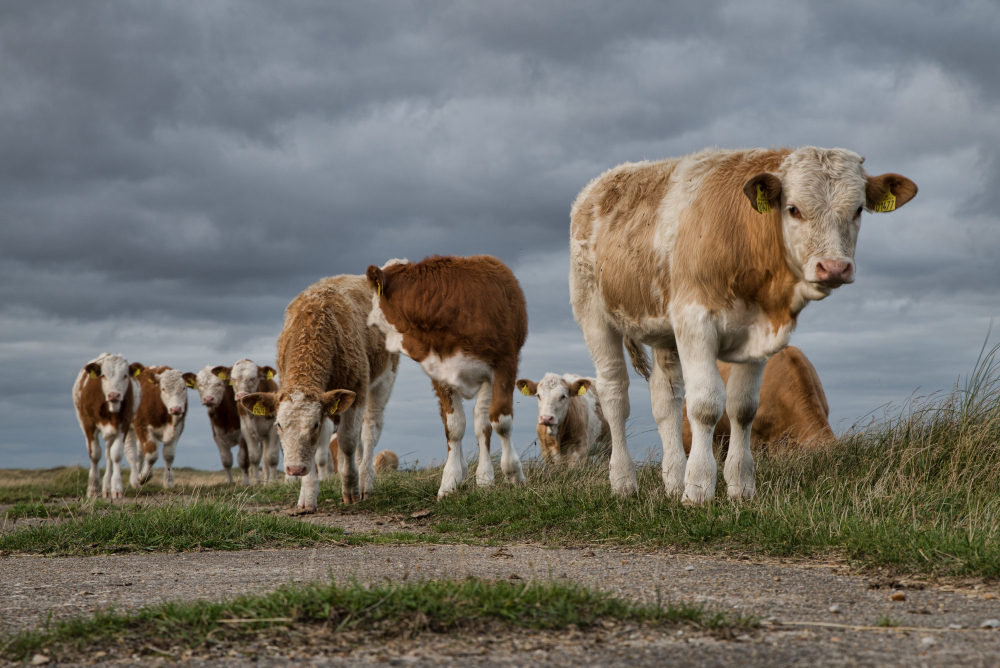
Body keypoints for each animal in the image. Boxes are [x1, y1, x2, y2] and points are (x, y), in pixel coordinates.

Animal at [72, 352, 145, 498]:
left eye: (125, 375)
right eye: (103, 375)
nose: (114, 395)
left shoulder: (124, 424)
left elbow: (116, 455)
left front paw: (116, 488)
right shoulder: (89, 423)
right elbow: (95, 454)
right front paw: (93, 488)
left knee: (109, 456)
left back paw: (106, 487)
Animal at [240, 274, 400, 508]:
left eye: (315, 424)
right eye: (278, 424)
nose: (294, 469)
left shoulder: (357, 390)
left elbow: (347, 442)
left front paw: (351, 489)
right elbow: (316, 452)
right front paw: (307, 495)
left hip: (385, 378)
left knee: (370, 429)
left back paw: (365, 481)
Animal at [364, 253, 528, 498]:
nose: (368, 319)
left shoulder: (504, 365)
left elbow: (500, 421)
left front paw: (513, 474)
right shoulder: (441, 374)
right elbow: (454, 427)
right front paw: (450, 481)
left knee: (482, 423)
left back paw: (484, 477)